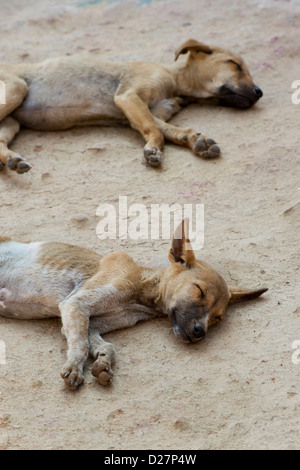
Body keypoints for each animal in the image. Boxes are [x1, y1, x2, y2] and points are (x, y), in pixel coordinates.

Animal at [0, 38, 262, 171]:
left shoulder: (147, 111)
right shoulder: (129, 97)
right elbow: (155, 131)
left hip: (10, 123)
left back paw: (11, 161)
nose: (259, 92)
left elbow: (169, 130)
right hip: (16, 89)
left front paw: (197, 141)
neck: (175, 82)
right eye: (235, 64)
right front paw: (153, 150)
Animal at [0, 220, 268, 390]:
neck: (140, 296)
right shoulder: (75, 303)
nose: (200, 332)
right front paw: (75, 368)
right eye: (199, 291)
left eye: (217, 317)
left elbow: (100, 344)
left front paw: (104, 362)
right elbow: (80, 345)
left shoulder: (89, 320)